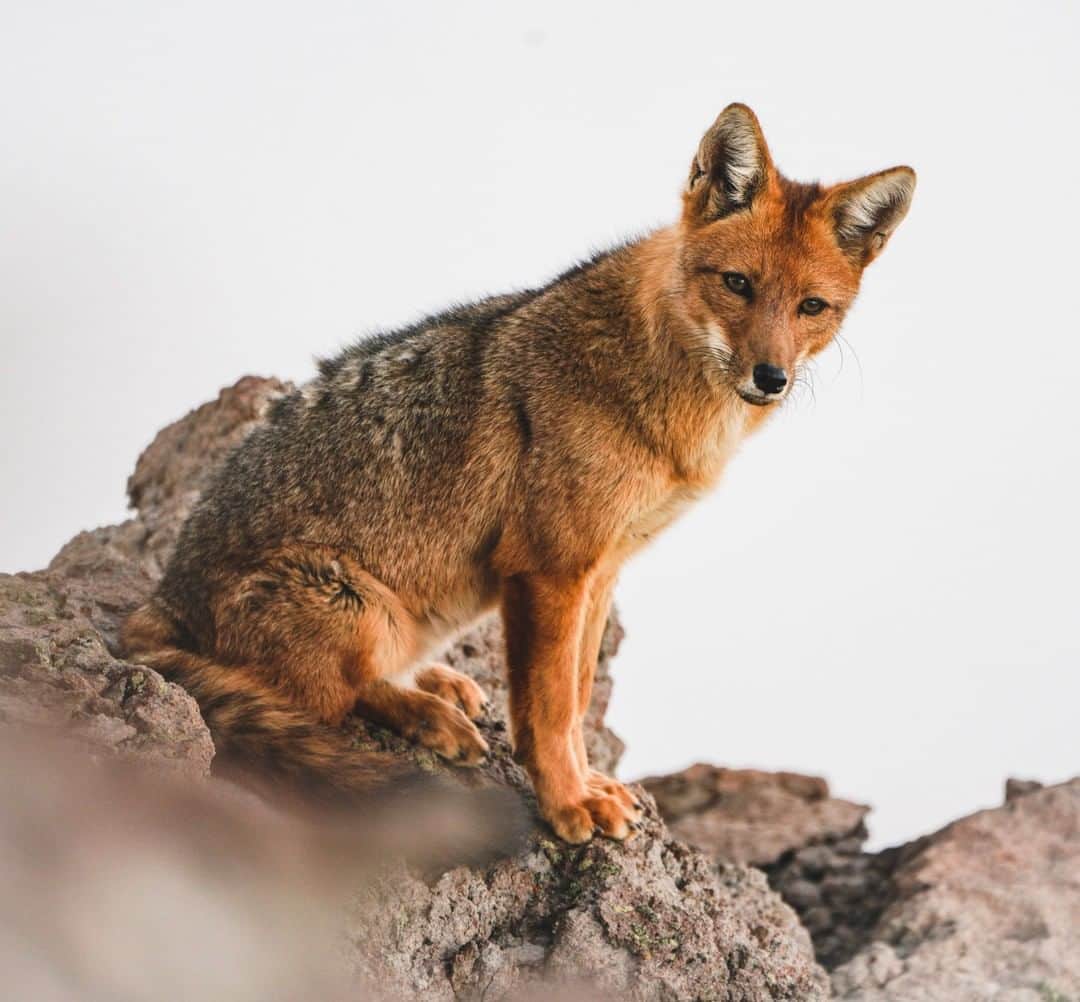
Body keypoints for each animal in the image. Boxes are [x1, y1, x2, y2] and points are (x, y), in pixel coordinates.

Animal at [122, 103, 914, 843]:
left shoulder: (602, 569)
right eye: (737, 284)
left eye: (811, 307)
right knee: (334, 698)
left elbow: (577, 693)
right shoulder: (549, 568)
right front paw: (567, 804)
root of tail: (161, 602)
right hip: (363, 608)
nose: (770, 378)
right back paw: (428, 715)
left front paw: (590, 784)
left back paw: (440, 688)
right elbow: (549, 708)